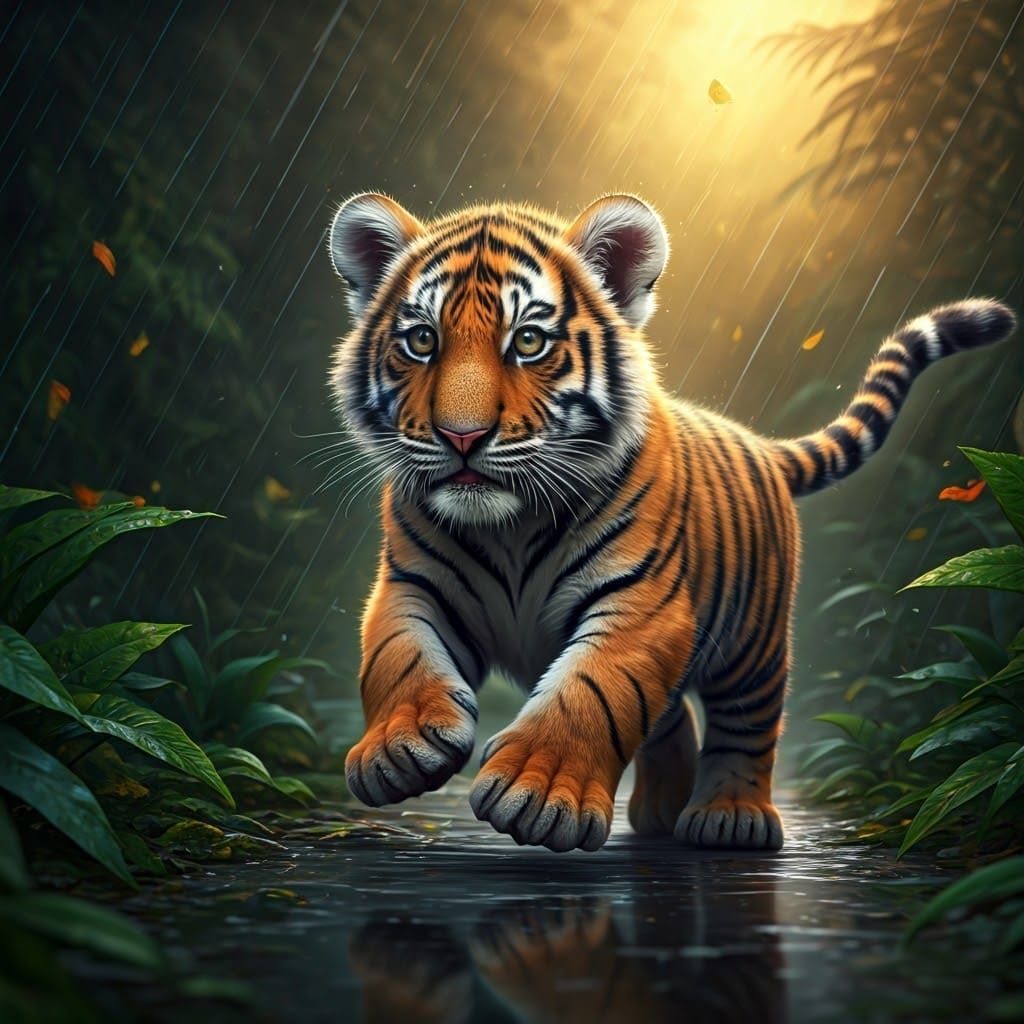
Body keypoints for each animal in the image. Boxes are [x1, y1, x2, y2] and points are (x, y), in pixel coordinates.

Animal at [326, 190, 1015, 852]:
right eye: (422, 341)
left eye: (528, 342)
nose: (461, 437)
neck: (509, 524)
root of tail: (763, 446)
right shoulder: (413, 585)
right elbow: (396, 655)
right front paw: (397, 748)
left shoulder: (643, 604)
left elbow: (592, 690)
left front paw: (537, 793)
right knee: (670, 715)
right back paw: (659, 812)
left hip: (755, 645)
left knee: (747, 723)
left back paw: (730, 818)